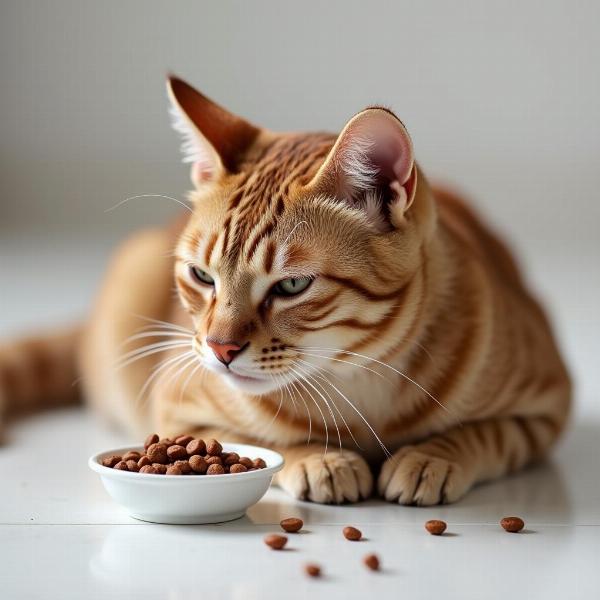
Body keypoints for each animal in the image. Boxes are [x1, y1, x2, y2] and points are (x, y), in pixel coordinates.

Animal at [0, 76, 572, 506]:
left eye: (292, 285)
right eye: (202, 276)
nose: (220, 348)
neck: (355, 379)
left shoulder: (548, 403)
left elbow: (485, 433)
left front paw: (431, 457)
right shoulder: (177, 405)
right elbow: (262, 440)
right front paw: (318, 457)